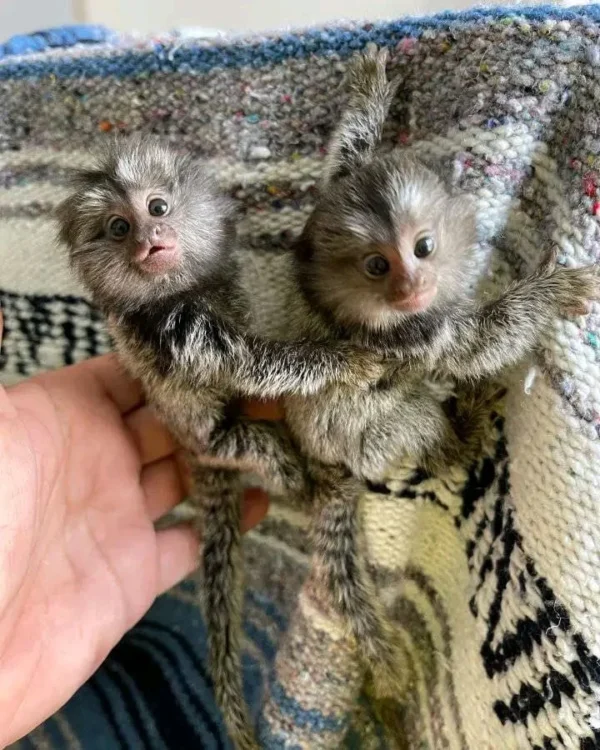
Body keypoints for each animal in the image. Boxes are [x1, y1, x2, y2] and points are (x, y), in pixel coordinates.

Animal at [55, 136, 385, 750]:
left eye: (157, 207)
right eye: (118, 227)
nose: (149, 237)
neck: (183, 289)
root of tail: (191, 448)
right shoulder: (177, 331)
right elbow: (256, 365)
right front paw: (345, 362)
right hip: (219, 441)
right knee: (259, 445)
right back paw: (304, 485)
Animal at [214, 44, 600, 698]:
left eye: (422, 248)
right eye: (377, 266)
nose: (410, 287)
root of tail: (325, 464)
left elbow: (342, 161)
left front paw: (369, 97)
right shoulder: (410, 337)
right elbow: (477, 344)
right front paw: (550, 293)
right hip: (371, 441)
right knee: (415, 420)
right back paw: (461, 436)